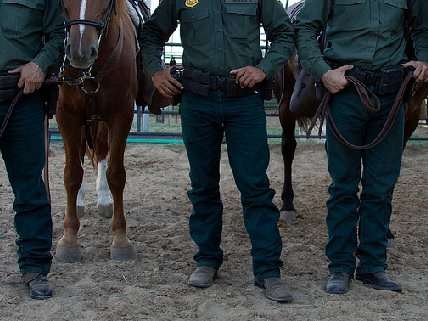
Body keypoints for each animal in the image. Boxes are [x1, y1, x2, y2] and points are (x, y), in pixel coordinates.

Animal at [54, 0, 142, 262]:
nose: (80, 52)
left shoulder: (121, 116)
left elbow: (116, 175)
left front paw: (121, 240)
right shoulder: (67, 116)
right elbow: (72, 173)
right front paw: (69, 240)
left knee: (101, 151)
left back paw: (103, 200)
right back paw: (80, 203)